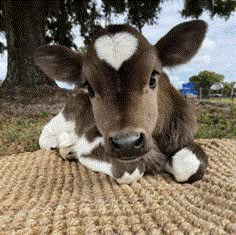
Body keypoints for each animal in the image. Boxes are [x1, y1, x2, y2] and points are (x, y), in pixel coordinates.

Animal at [33, 20, 208, 184]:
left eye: (152, 78)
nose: (126, 143)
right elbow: (130, 170)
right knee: (46, 138)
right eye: (89, 87)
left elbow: (191, 164)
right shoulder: (90, 141)